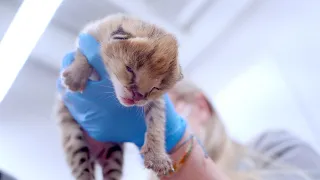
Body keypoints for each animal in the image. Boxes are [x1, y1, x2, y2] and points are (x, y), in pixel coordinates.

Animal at [55, 14, 182, 180]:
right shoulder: (90, 33)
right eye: (130, 70)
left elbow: (157, 122)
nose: (137, 97)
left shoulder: (155, 101)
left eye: (156, 87)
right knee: (83, 172)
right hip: (74, 140)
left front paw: (157, 157)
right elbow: (82, 53)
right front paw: (76, 76)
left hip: (113, 154)